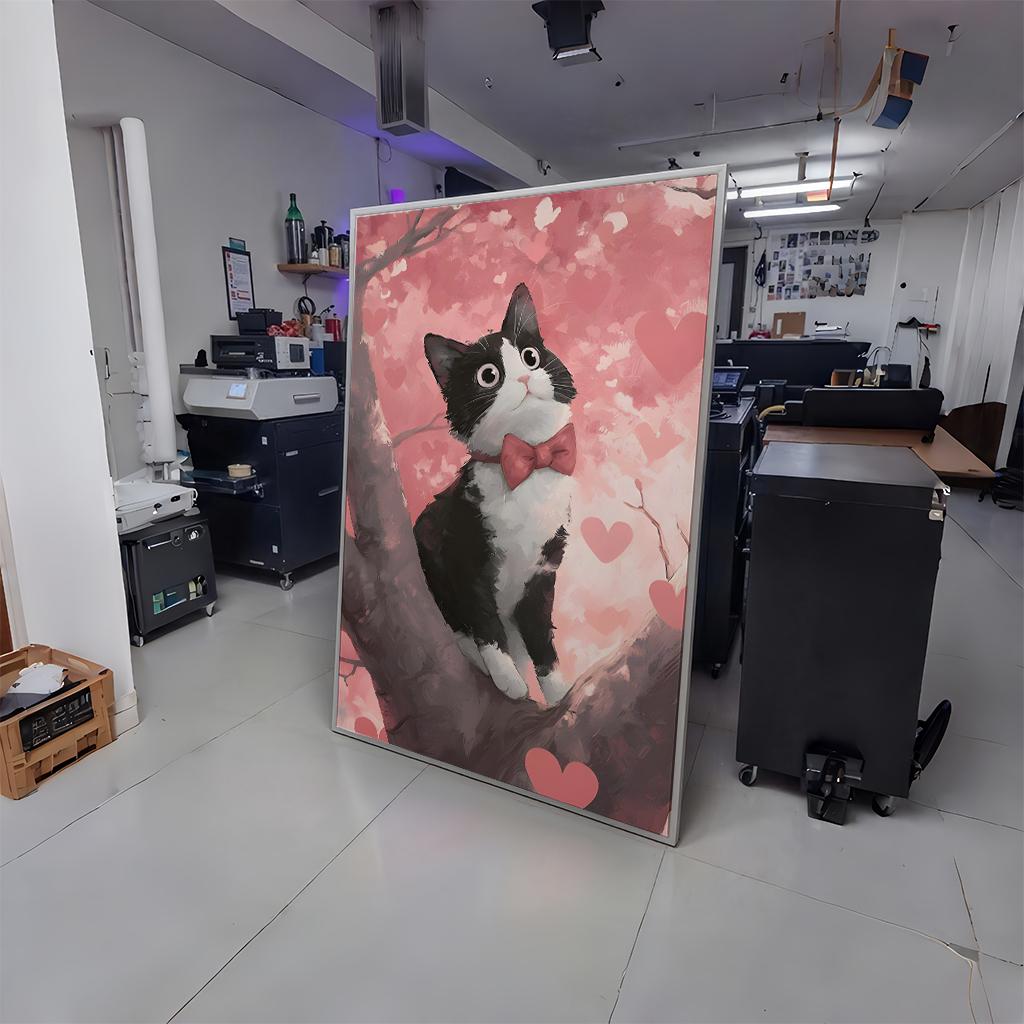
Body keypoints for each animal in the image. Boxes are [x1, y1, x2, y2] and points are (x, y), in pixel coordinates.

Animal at [414, 283, 577, 704]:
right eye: (488, 376)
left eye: (530, 356)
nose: (523, 378)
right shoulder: (461, 553)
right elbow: (484, 620)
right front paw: (508, 679)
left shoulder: (542, 574)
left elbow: (541, 635)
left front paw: (558, 694)